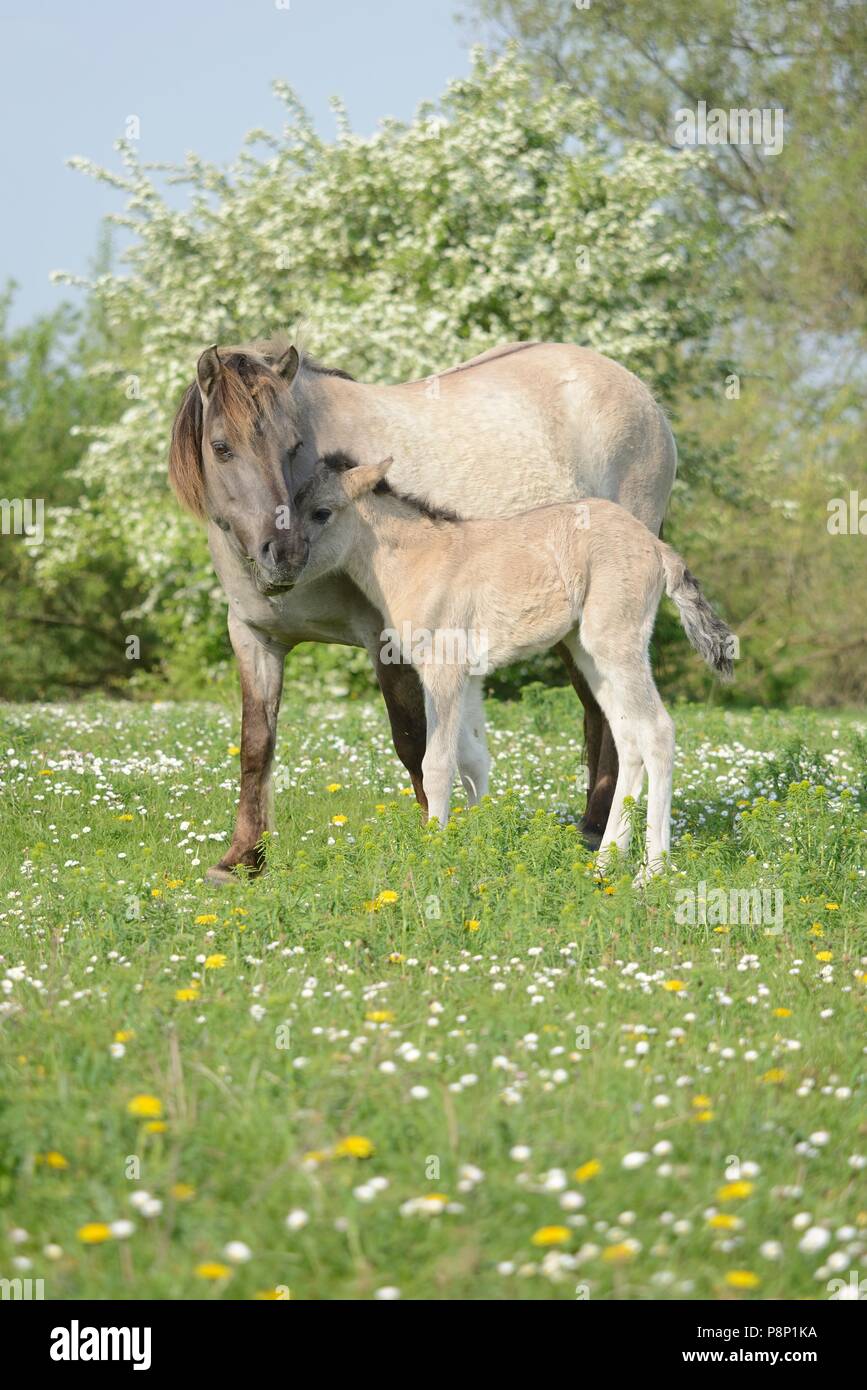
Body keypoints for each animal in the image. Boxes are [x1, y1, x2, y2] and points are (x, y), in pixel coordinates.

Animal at [168, 336, 676, 884]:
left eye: (293, 446)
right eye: (221, 447)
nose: (282, 555)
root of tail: (645, 398)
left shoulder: (389, 644)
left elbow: (415, 744)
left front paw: (430, 842)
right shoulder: (254, 638)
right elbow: (255, 745)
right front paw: (243, 859)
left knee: (616, 725)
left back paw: (600, 834)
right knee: (610, 718)